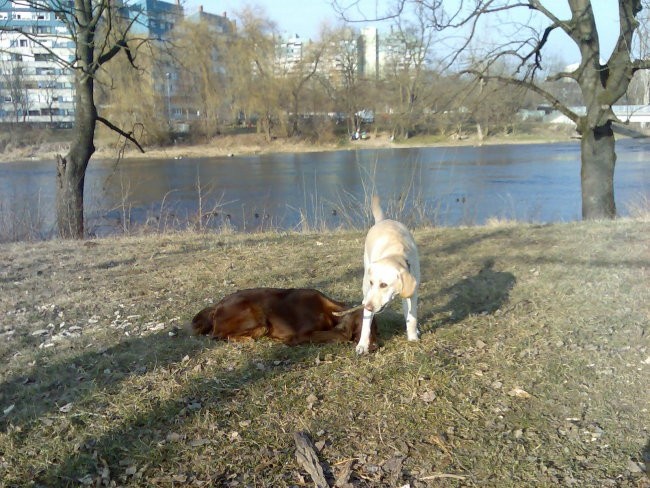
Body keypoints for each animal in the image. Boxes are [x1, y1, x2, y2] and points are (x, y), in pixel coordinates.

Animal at [187, 286, 378, 350]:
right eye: (366, 327)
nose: (375, 346)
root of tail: (216, 306)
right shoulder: (302, 334)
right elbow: (340, 335)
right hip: (255, 318)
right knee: (216, 335)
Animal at [352, 196, 418, 352]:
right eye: (372, 283)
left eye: (384, 285)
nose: (368, 307)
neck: (395, 253)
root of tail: (383, 220)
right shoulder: (369, 293)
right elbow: (366, 325)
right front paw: (362, 345)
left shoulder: (412, 292)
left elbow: (412, 317)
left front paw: (413, 336)